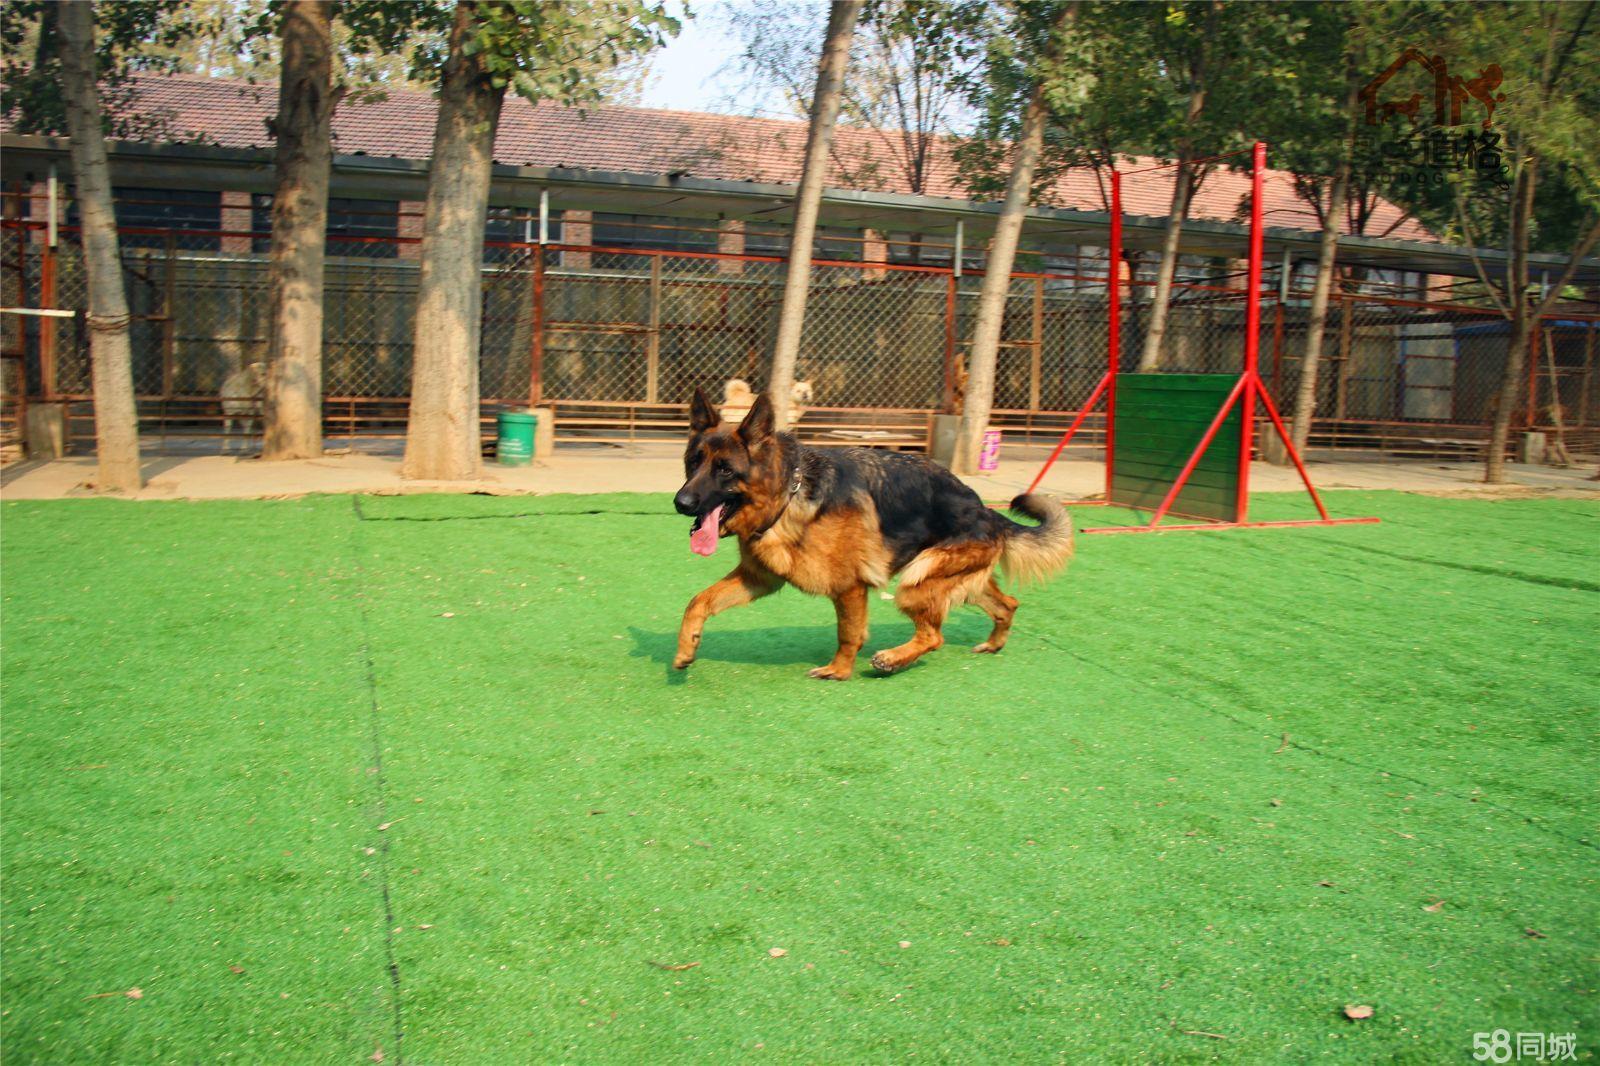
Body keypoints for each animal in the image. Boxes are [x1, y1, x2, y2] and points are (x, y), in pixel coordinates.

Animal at [668, 385, 1068, 675]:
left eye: (724, 470)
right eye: (693, 462)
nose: (681, 502)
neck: (788, 495)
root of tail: (986, 510)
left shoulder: (849, 587)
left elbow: (848, 633)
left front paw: (838, 671)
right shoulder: (758, 579)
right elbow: (697, 601)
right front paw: (687, 646)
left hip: (916, 582)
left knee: (934, 636)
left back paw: (891, 659)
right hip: (952, 579)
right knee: (1007, 604)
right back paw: (993, 643)